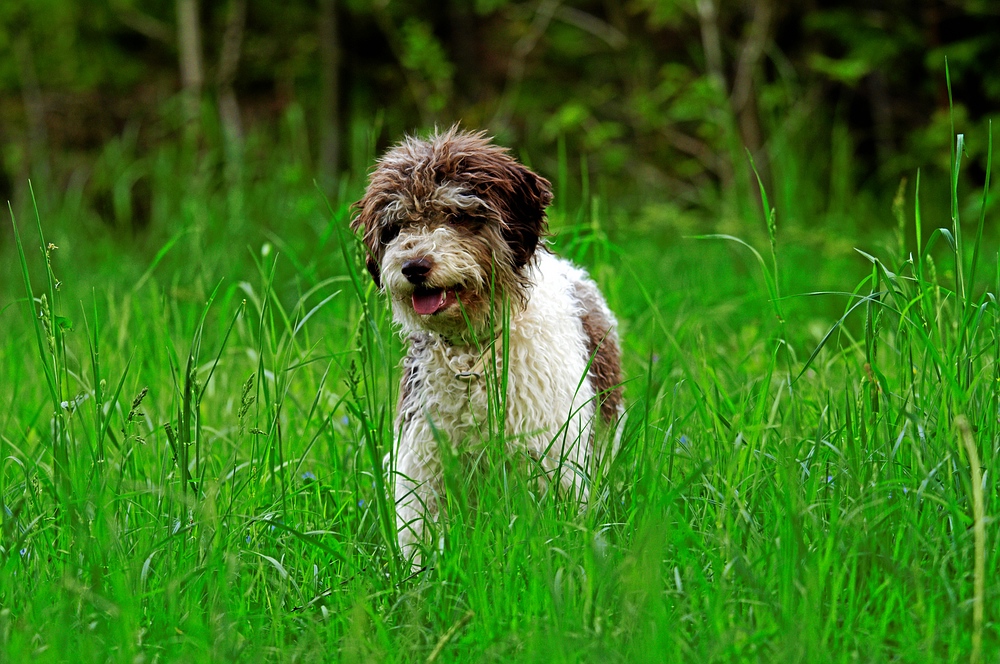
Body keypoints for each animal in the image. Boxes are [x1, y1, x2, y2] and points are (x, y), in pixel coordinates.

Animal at [350, 127, 616, 564]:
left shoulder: (550, 453)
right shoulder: (423, 458)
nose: (414, 266)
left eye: (457, 216)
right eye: (397, 225)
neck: (472, 352)